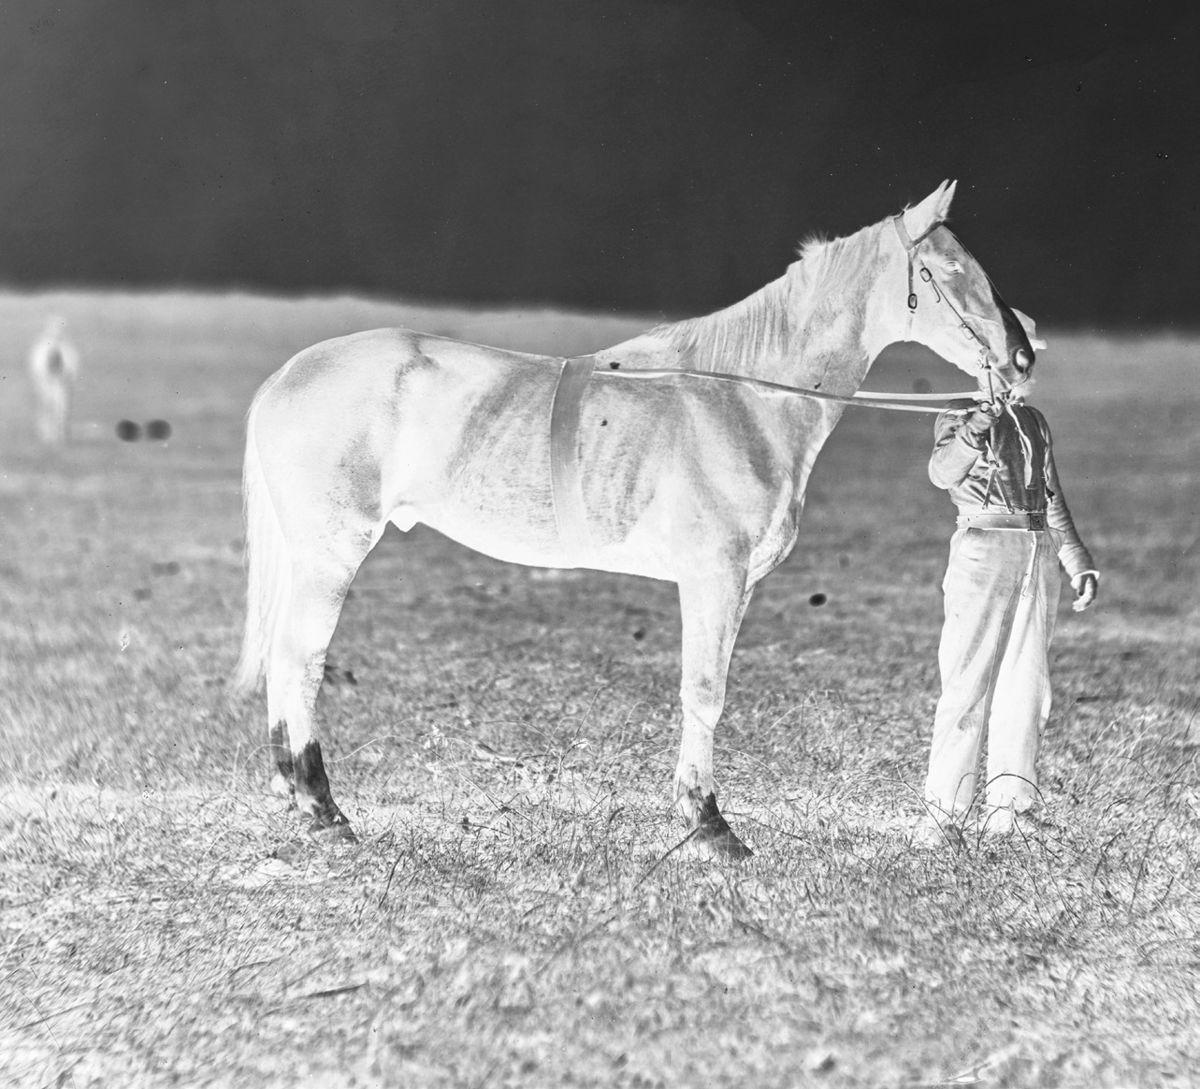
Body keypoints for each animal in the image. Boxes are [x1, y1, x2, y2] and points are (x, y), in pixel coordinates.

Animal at [28, 316, 80, 446]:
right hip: (63, 384)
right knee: (60, 404)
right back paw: (59, 437)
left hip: (51, 384)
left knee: (52, 404)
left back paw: (53, 437)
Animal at [233, 180, 1036, 857]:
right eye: (951, 270)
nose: (1024, 354)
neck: (744, 399)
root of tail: (283, 377)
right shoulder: (713, 577)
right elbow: (705, 692)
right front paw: (709, 825)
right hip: (331, 553)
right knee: (300, 659)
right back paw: (323, 807)